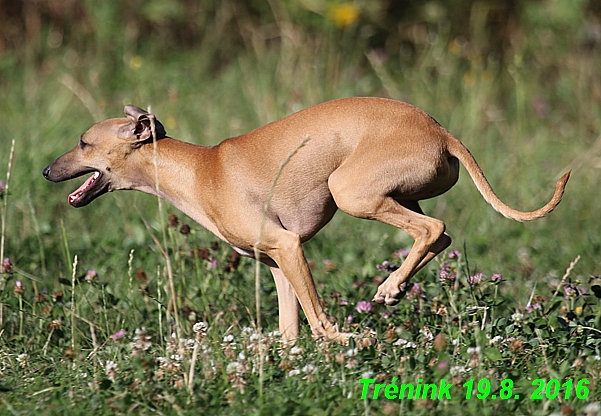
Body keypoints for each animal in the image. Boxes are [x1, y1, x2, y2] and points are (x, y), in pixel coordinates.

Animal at [44, 97, 568, 342]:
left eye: (84, 142)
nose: (48, 170)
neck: (198, 170)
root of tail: (439, 129)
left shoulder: (288, 246)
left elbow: (317, 321)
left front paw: (345, 340)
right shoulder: (278, 263)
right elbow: (290, 329)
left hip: (350, 192)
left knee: (433, 230)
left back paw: (387, 289)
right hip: (393, 194)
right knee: (438, 236)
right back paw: (396, 287)